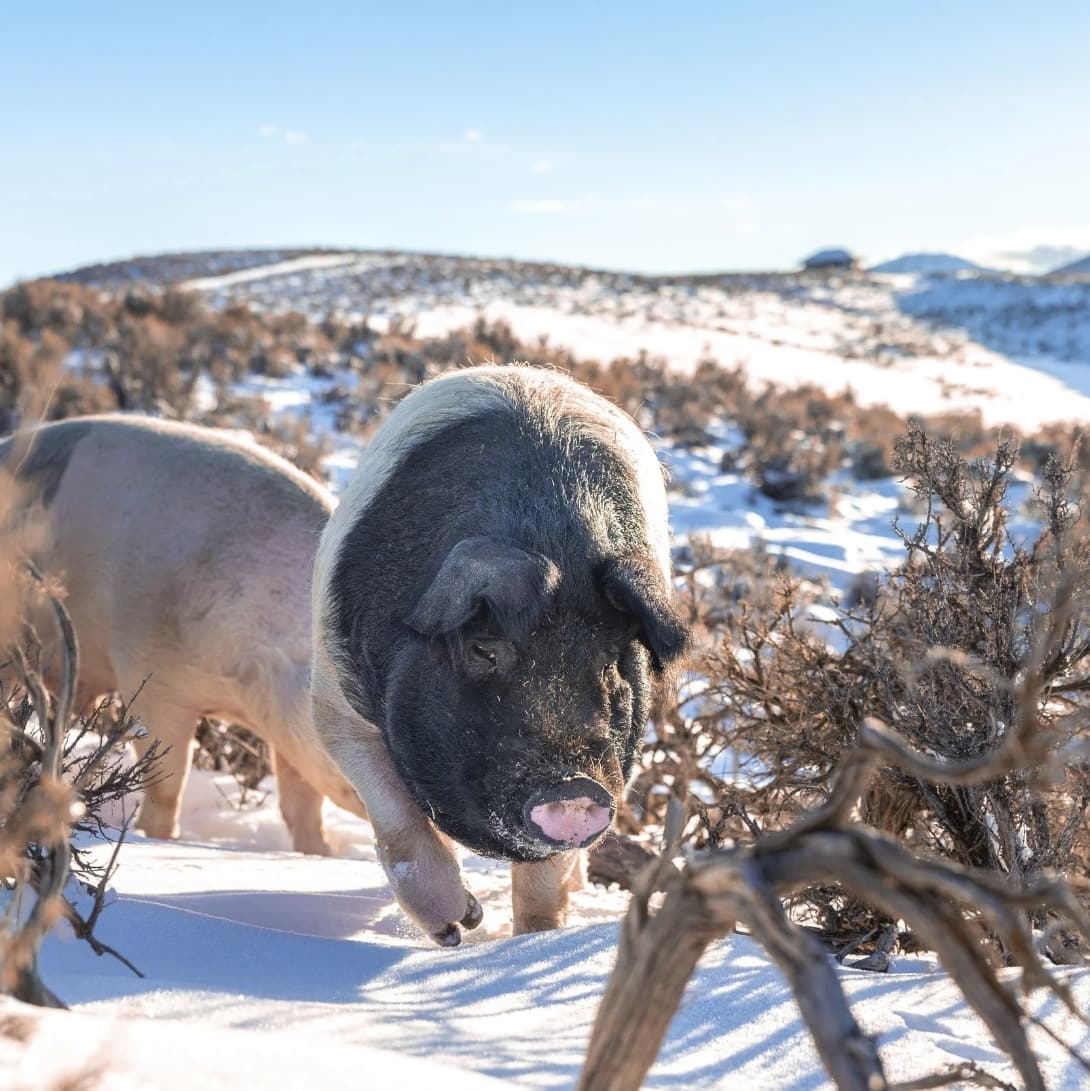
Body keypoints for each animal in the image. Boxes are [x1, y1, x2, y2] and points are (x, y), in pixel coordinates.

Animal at [1, 414, 365, 853]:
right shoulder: (150, 673)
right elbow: (168, 777)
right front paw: (160, 839)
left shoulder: (284, 720)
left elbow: (302, 801)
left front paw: (319, 853)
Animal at [311, 365, 689, 944]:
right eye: (484, 648)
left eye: (610, 660)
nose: (573, 788)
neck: (550, 537)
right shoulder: (336, 702)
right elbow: (396, 822)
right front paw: (457, 927)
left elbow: (542, 884)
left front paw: (531, 941)